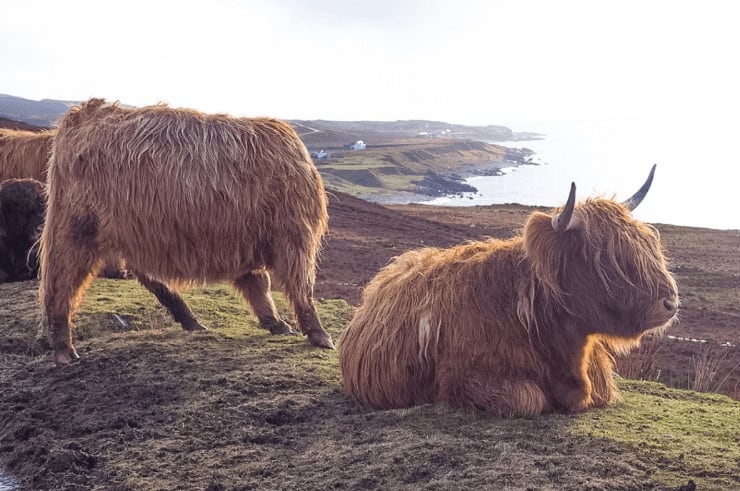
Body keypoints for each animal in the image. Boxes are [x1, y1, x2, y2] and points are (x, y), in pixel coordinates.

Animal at [37, 99, 332, 366]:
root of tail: (85, 111)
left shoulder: (249, 240)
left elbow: (258, 284)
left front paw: (276, 322)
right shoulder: (294, 235)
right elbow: (300, 287)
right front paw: (319, 335)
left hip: (128, 232)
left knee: (142, 276)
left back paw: (191, 320)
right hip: (76, 230)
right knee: (61, 283)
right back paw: (64, 349)